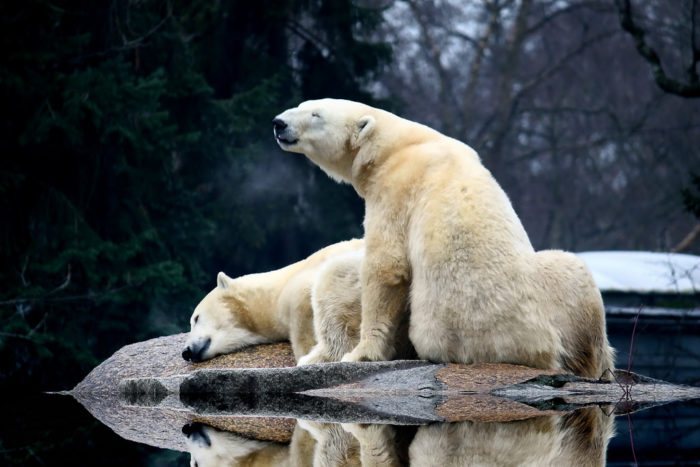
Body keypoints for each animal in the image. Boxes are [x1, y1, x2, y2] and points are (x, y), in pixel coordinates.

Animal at [272, 99, 612, 380]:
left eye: (316, 115)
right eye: (302, 105)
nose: (279, 123)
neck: (397, 144)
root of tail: (542, 345)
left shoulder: (395, 187)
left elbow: (388, 266)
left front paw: (361, 353)